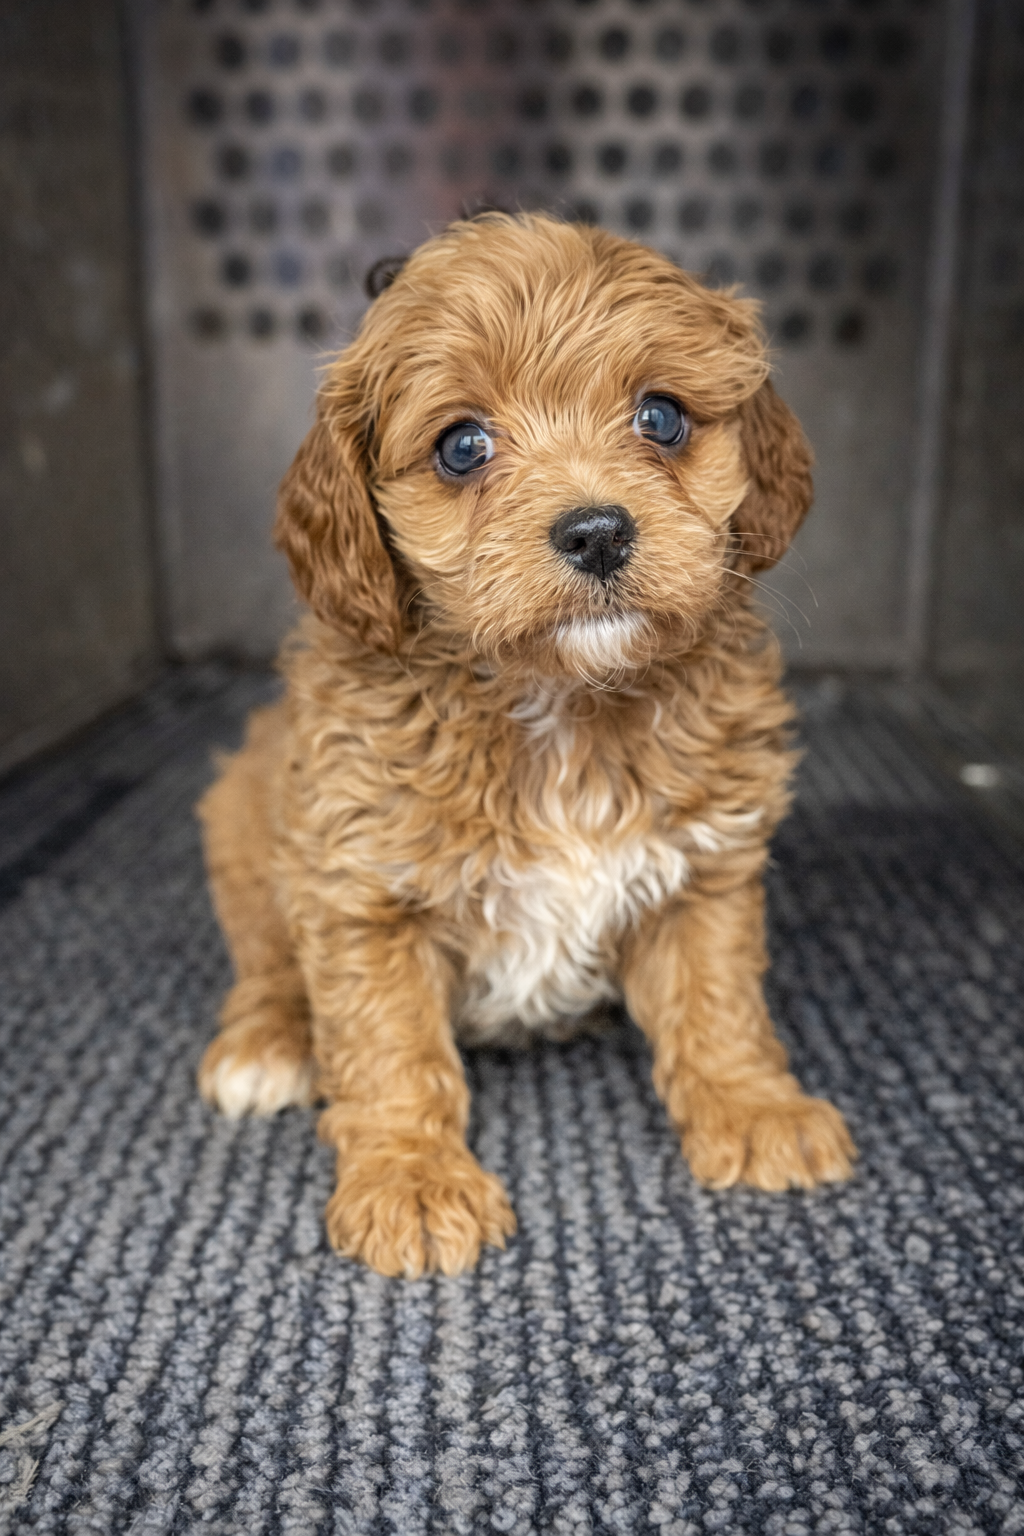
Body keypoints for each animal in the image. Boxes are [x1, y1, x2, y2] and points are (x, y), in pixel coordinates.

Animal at [197, 212, 856, 1278]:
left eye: (662, 418)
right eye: (463, 446)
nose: (597, 532)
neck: (560, 703)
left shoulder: (707, 869)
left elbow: (719, 1001)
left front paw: (756, 1108)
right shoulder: (359, 891)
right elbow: (389, 1045)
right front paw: (413, 1179)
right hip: (245, 830)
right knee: (265, 963)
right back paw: (266, 1044)